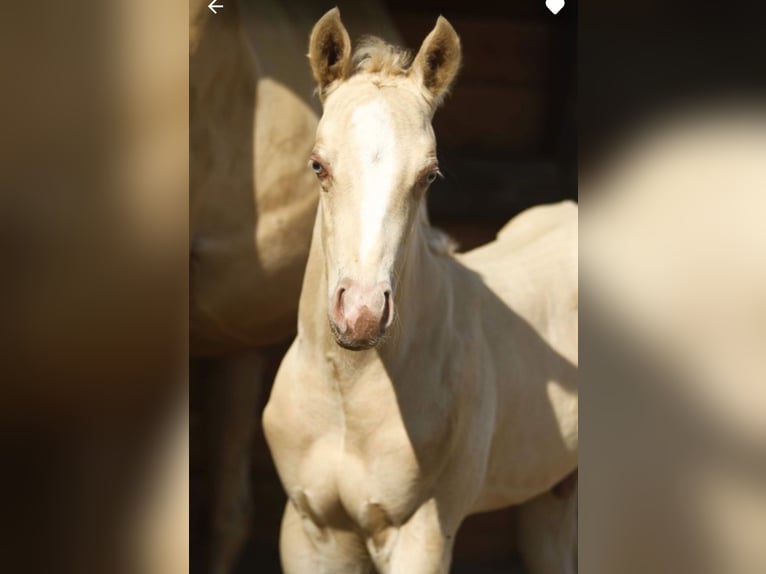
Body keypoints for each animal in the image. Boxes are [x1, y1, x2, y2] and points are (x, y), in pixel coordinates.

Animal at [262, 9, 576, 574]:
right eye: (318, 165)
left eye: (428, 175)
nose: (361, 314)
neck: (349, 395)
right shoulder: (310, 530)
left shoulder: (420, 533)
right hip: (551, 492)